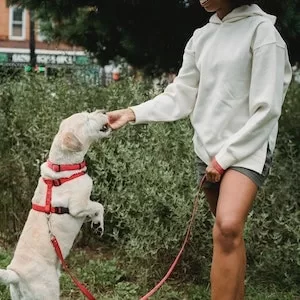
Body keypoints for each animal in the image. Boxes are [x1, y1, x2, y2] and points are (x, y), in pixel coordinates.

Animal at [0, 109, 111, 298]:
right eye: (87, 119)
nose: (103, 111)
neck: (64, 167)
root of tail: (16, 276)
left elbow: (96, 209)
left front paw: (96, 223)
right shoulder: (77, 206)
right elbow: (98, 205)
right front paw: (98, 223)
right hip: (48, 291)